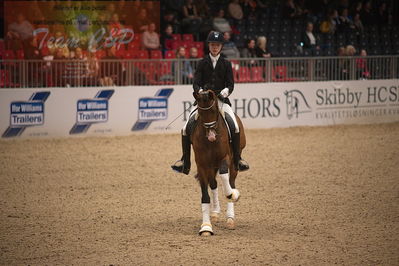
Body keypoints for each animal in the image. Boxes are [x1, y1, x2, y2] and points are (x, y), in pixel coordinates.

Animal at [191, 90, 247, 236]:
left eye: (214, 110)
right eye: (200, 111)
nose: (211, 136)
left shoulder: (225, 158)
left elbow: (224, 176)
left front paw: (232, 194)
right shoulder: (202, 166)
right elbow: (205, 196)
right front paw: (206, 227)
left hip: (233, 163)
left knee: (231, 181)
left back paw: (230, 217)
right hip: (211, 167)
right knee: (213, 184)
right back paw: (215, 213)